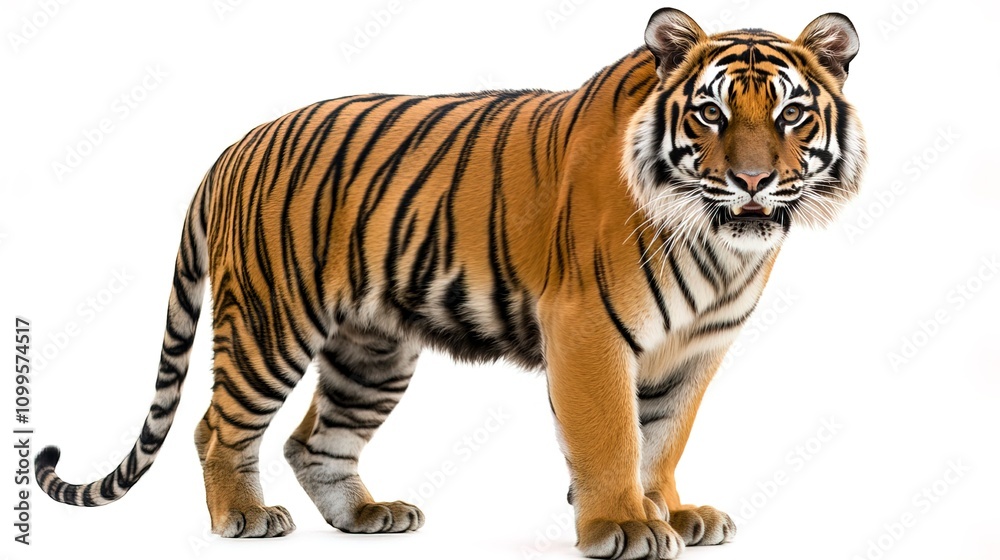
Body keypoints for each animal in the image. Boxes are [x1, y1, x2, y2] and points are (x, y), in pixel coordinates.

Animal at [35, 7, 865, 559]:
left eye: (792, 114)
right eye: (710, 113)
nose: (753, 181)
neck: (715, 242)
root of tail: (233, 148)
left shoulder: (695, 349)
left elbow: (661, 437)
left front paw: (673, 513)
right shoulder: (589, 329)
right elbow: (611, 436)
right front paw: (623, 526)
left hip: (371, 351)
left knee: (314, 440)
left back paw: (367, 517)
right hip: (272, 323)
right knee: (218, 425)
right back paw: (243, 517)